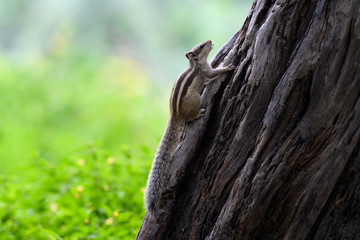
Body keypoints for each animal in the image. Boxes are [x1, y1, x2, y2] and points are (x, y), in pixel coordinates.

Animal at [145, 40, 235, 217]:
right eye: (201, 46)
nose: (209, 41)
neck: (196, 64)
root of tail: (174, 115)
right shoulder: (205, 70)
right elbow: (212, 74)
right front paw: (227, 67)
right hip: (195, 98)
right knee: (190, 117)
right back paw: (197, 114)